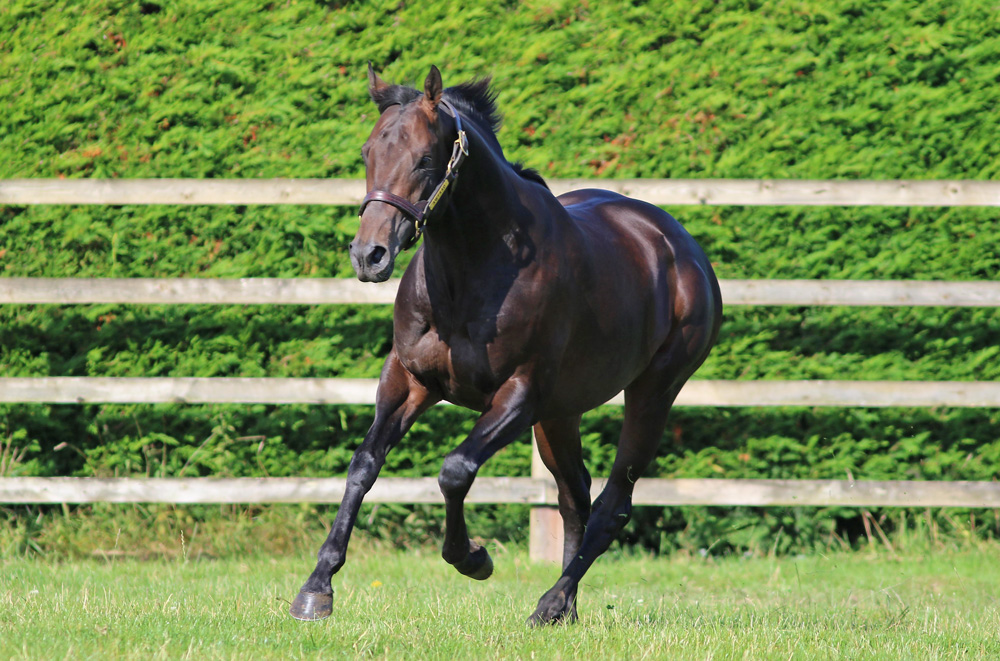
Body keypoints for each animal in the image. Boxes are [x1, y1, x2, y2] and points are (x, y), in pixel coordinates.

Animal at [288, 64, 720, 628]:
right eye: (367, 153)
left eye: (425, 158)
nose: (369, 256)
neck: (472, 272)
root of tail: (683, 249)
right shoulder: (409, 380)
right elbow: (364, 464)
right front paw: (316, 589)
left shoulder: (519, 395)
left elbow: (455, 470)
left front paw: (472, 557)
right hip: (561, 415)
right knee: (575, 497)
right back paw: (565, 611)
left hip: (651, 394)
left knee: (613, 505)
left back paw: (551, 603)